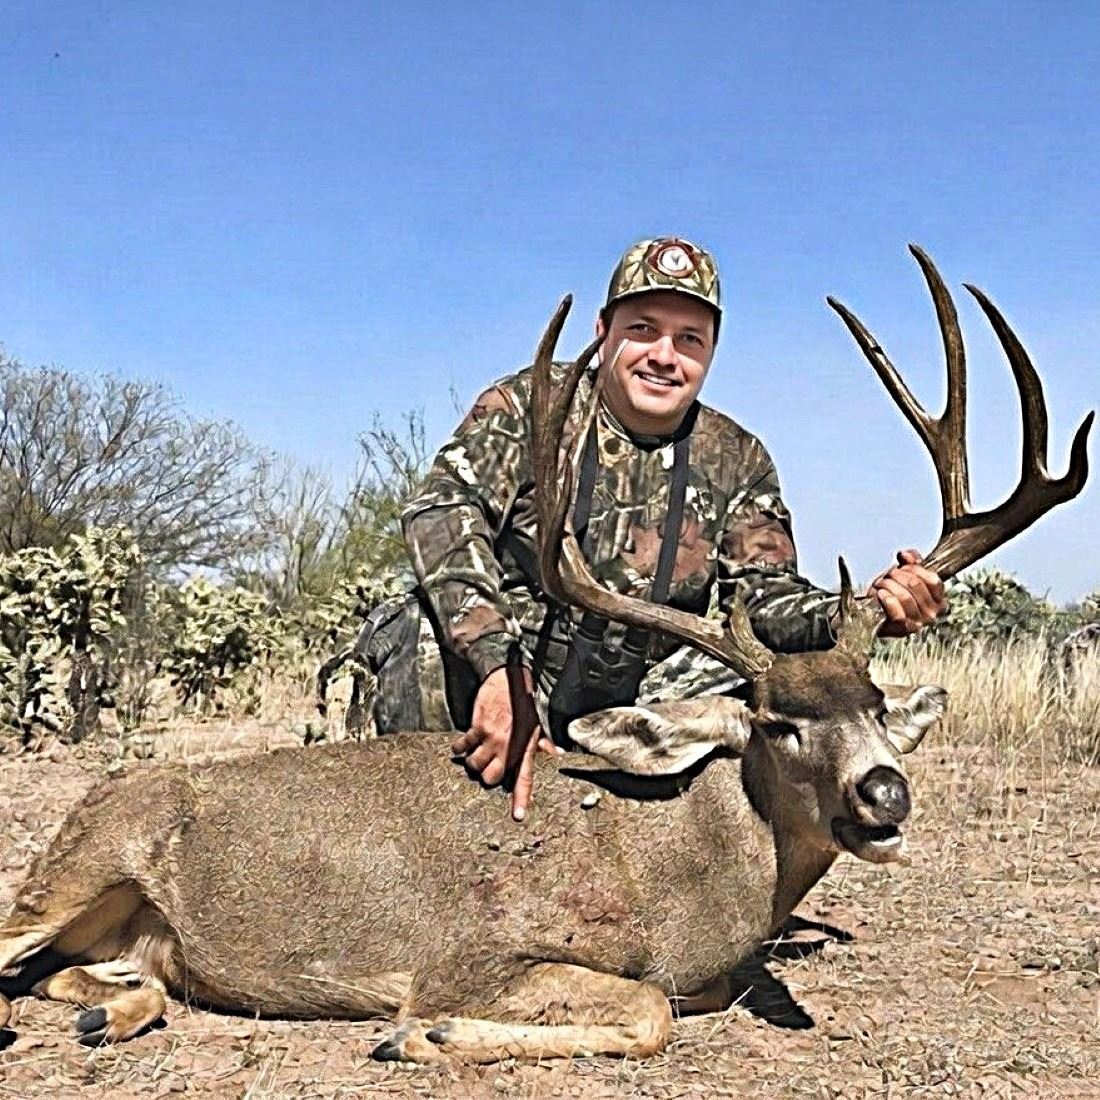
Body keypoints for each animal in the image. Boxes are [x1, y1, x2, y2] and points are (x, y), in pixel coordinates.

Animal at [0, 247, 1091, 1063]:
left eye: (873, 704)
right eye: (778, 722)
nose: (883, 791)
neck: (673, 869)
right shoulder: (471, 951)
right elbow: (642, 1010)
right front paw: (421, 1034)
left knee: (83, 974)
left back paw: (111, 1006)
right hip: (78, 861)